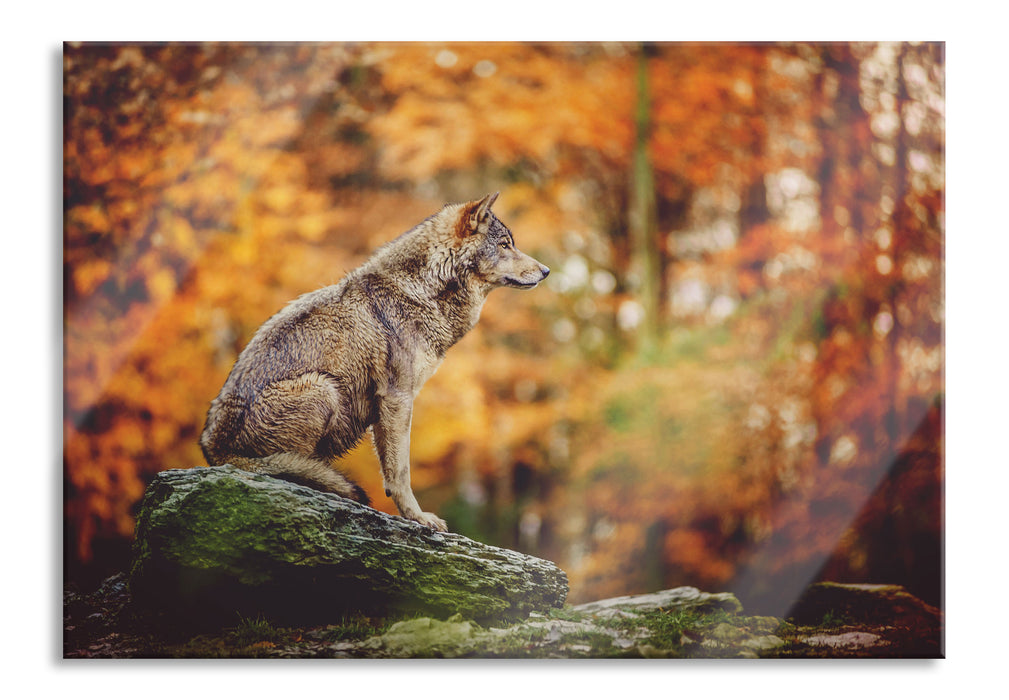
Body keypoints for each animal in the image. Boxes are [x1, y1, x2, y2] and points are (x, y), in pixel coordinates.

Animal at [201, 191, 552, 532]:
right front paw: (418, 518)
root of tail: (214, 449)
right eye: (505, 244)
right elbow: (401, 471)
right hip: (323, 388)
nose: (547, 271)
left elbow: (391, 468)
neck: (421, 291)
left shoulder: (389, 406)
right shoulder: (397, 398)